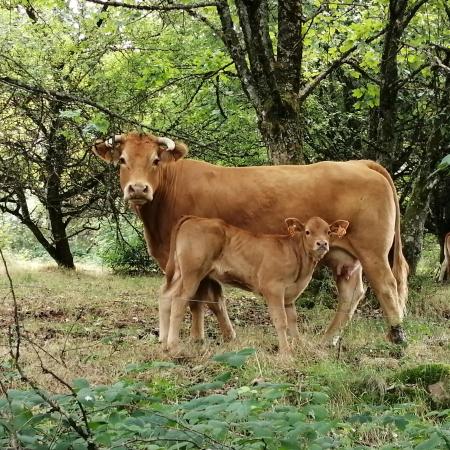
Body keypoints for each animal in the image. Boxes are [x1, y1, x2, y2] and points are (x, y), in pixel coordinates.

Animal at [160, 215, 350, 356]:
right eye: (308, 231)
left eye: (328, 232)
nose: (322, 243)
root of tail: (195, 218)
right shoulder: (273, 289)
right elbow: (281, 321)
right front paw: (286, 352)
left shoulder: (289, 295)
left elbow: (293, 320)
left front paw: (299, 345)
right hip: (192, 273)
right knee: (179, 300)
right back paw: (174, 347)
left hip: (180, 274)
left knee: (166, 296)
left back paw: (163, 342)